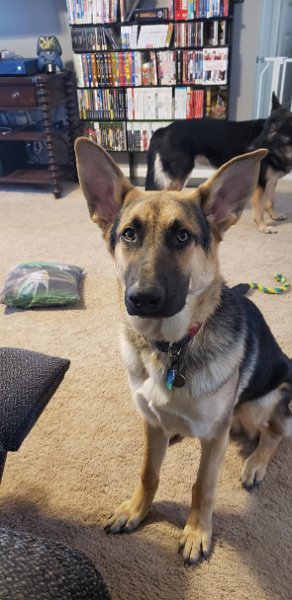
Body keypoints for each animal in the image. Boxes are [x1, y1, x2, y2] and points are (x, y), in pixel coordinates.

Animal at [75, 138, 292, 564]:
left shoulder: (214, 439)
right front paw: (137, 510)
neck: (173, 346)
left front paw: (196, 531)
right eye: (129, 234)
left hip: (259, 403)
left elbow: (202, 486)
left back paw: (255, 464)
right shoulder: (150, 423)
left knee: (276, 432)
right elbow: (148, 472)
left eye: (182, 237)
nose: (142, 299)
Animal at [146, 94, 292, 234]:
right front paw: (263, 227)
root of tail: (162, 129)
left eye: (273, 129)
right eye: (265, 128)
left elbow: (270, 201)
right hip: (180, 176)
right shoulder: (260, 184)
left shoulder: (272, 181)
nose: (251, 148)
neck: (284, 150)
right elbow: (260, 208)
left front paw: (274, 216)